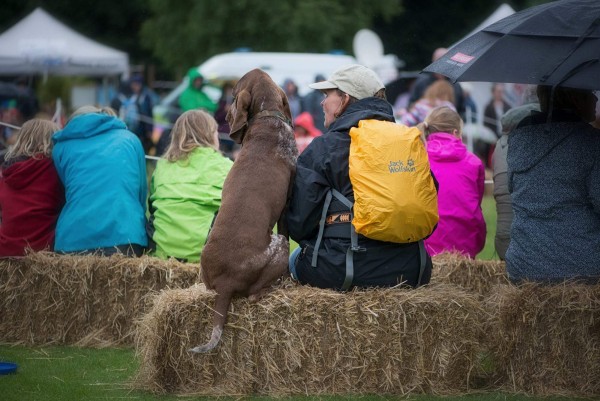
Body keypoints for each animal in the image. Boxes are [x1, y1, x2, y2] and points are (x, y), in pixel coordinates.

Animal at [190, 69, 298, 354]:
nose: (226, 117)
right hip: (280, 245)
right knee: (253, 295)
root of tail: (225, 285)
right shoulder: (288, 204)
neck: (267, 119)